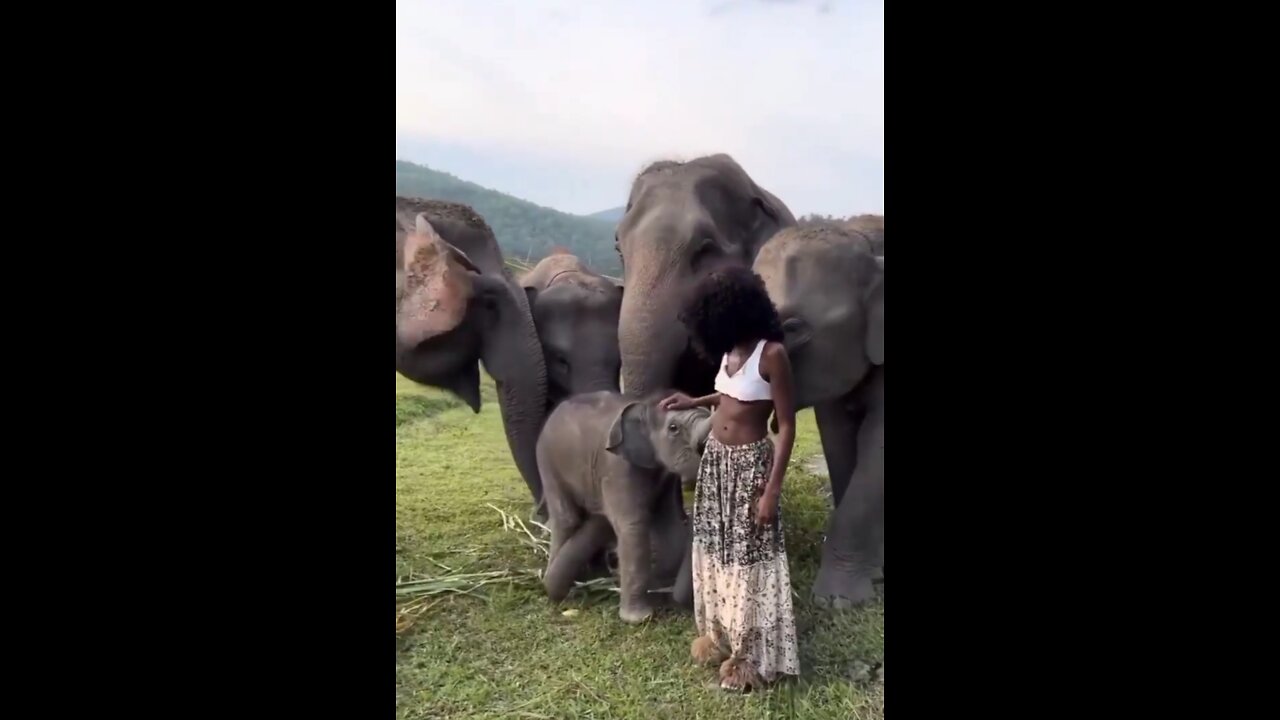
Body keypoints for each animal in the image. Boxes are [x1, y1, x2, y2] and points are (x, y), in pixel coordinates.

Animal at [537, 389, 716, 620]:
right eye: (673, 428)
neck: (644, 405)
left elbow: (669, 524)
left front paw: (659, 590)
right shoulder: (617, 467)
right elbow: (633, 526)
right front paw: (640, 619)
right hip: (547, 461)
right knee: (567, 518)